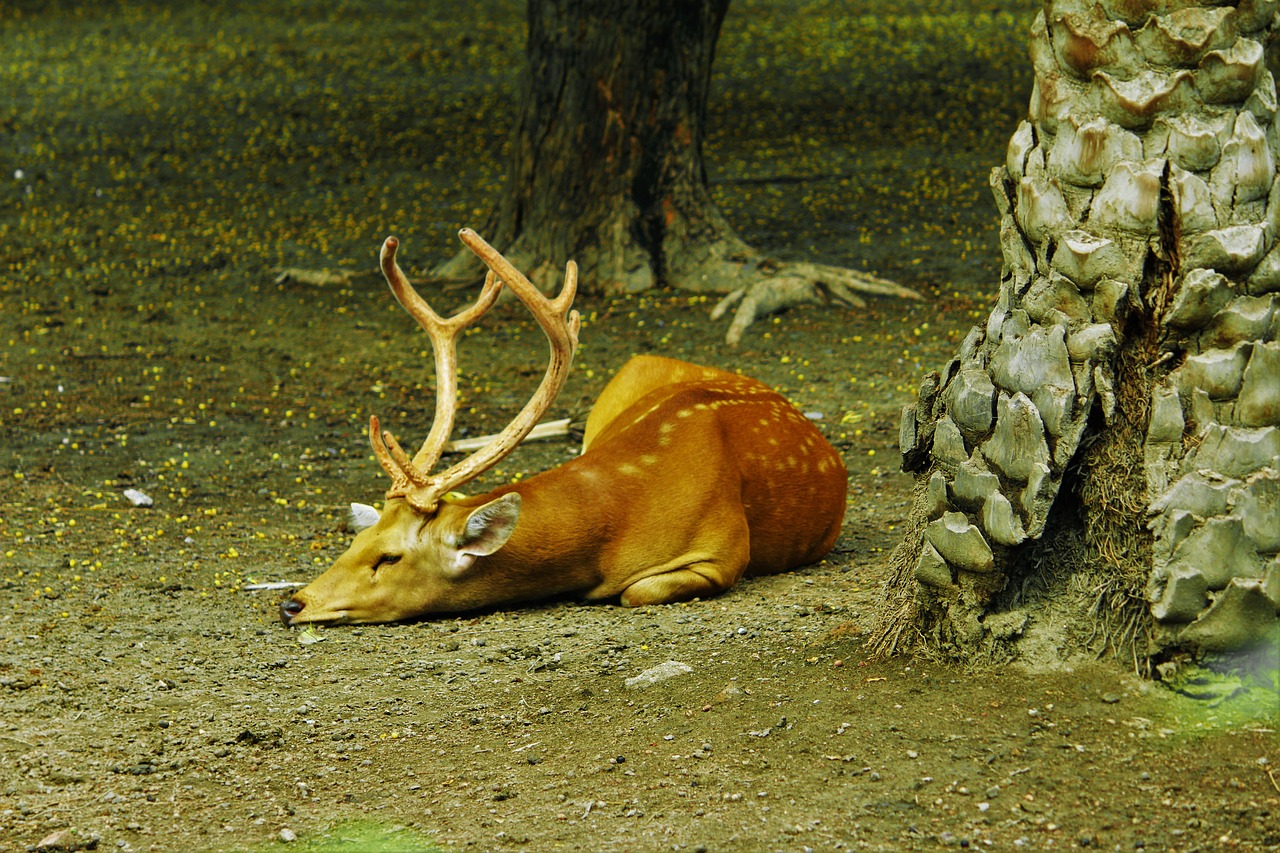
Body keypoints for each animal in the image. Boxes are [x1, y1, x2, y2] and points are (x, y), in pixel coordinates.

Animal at [277, 227, 849, 625]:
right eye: (354, 542)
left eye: (389, 558)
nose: (293, 602)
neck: (616, 517)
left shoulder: (724, 551)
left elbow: (635, 590)